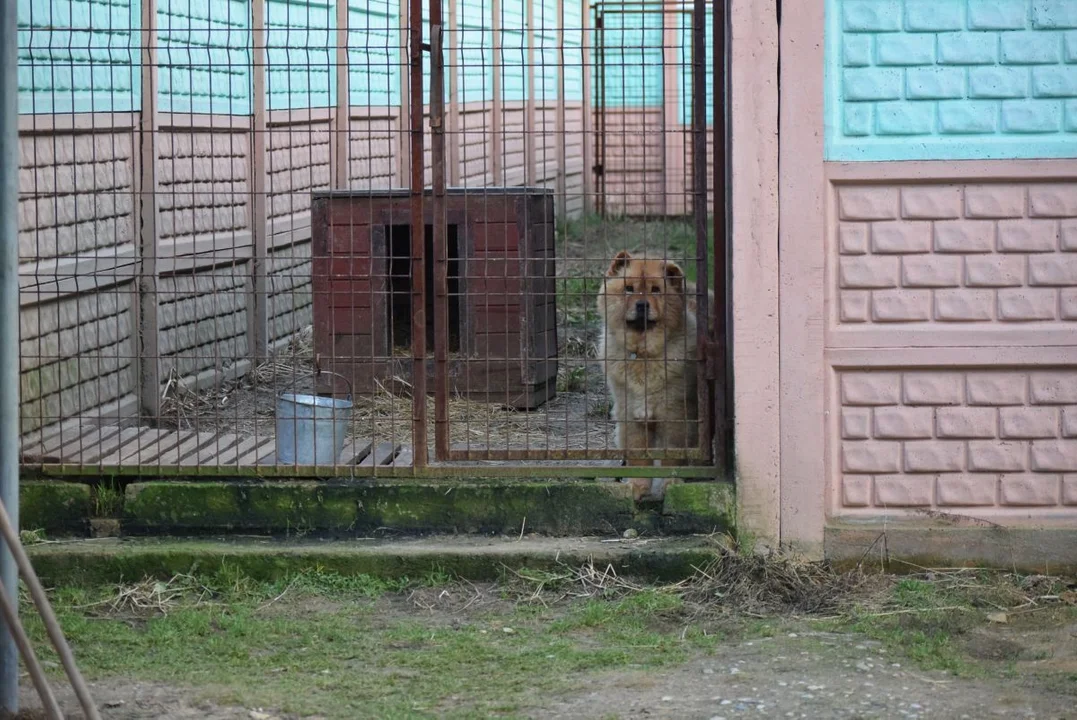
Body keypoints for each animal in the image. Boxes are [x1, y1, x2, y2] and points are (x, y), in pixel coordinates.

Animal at [598, 248, 706, 499]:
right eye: (629, 288)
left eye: (656, 290)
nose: (642, 305)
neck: (643, 355)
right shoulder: (630, 412)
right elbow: (638, 455)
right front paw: (637, 487)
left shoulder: (675, 414)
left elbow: (671, 455)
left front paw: (670, 484)